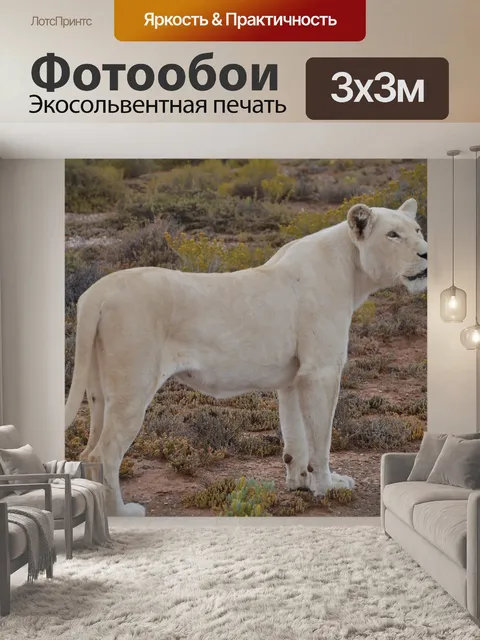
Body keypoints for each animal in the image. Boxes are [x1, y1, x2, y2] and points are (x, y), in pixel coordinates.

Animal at [65, 198, 427, 516]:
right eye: (393, 235)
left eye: (418, 229)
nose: (426, 253)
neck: (352, 270)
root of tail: (97, 292)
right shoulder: (321, 371)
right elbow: (320, 438)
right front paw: (327, 486)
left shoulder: (294, 378)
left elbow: (296, 436)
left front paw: (299, 483)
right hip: (133, 386)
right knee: (105, 452)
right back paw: (122, 512)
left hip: (99, 391)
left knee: (88, 450)